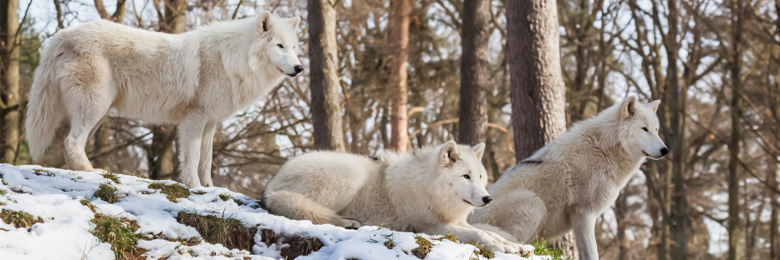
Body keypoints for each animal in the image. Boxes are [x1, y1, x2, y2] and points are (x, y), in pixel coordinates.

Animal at [24, 11, 304, 187]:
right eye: (279, 46)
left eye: (293, 48)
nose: (300, 67)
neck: (232, 59)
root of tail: (64, 34)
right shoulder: (194, 118)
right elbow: (192, 157)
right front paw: (194, 186)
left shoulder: (210, 122)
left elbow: (206, 161)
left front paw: (210, 187)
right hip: (95, 107)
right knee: (72, 141)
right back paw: (89, 172)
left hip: (99, 114)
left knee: (70, 143)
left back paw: (82, 171)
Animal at [266, 141, 532, 255]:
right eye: (465, 176)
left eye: (479, 176)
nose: (487, 199)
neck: (429, 189)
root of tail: (272, 185)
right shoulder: (431, 226)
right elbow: (480, 235)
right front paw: (502, 247)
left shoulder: (454, 221)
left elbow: (492, 233)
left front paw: (516, 246)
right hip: (352, 176)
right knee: (310, 212)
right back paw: (348, 222)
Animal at [472, 96, 668, 258]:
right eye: (644, 129)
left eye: (656, 129)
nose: (665, 150)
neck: (604, 149)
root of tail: (470, 219)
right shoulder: (583, 213)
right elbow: (592, 253)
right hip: (534, 204)